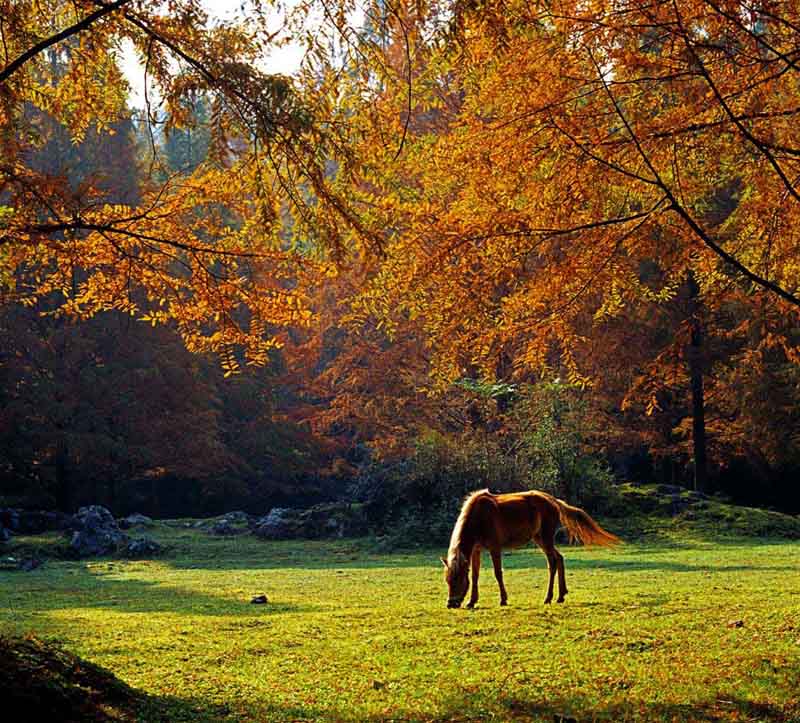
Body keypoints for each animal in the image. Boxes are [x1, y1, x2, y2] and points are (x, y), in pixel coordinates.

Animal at [444, 490, 620, 608]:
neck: (479, 517)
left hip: (546, 539)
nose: (451, 604)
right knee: (559, 558)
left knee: (552, 562)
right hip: (540, 539)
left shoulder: (495, 548)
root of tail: (552, 500)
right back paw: (561, 596)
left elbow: (498, 573)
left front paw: (503, 599)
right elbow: (475, 575)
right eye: (447, 580)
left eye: (458, 579)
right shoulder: (476, 550)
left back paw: (548, 598)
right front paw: (472, 601)